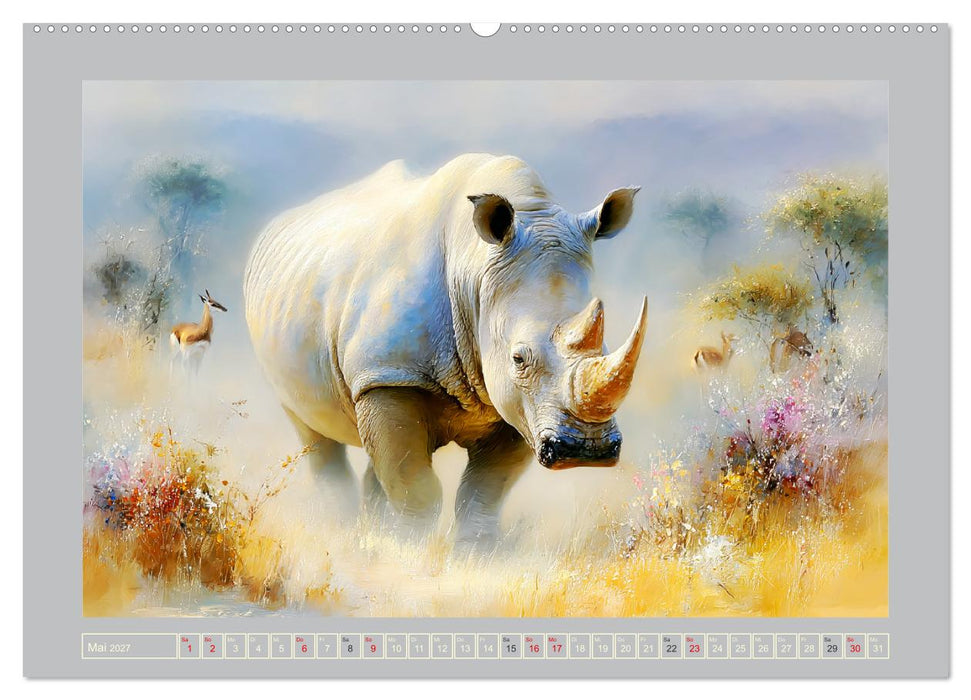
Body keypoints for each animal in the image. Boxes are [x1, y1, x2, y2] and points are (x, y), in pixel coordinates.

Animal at [244, 153, 647, 546]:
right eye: (518, 358)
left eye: (606, 346)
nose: (586, 448)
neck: (475, 270)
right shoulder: (391, 374)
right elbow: (417, 486)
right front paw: (410, 549)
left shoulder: (514, 402)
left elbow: (486, 487)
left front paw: (476, 550)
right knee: (313, 431)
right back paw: (340, 528)